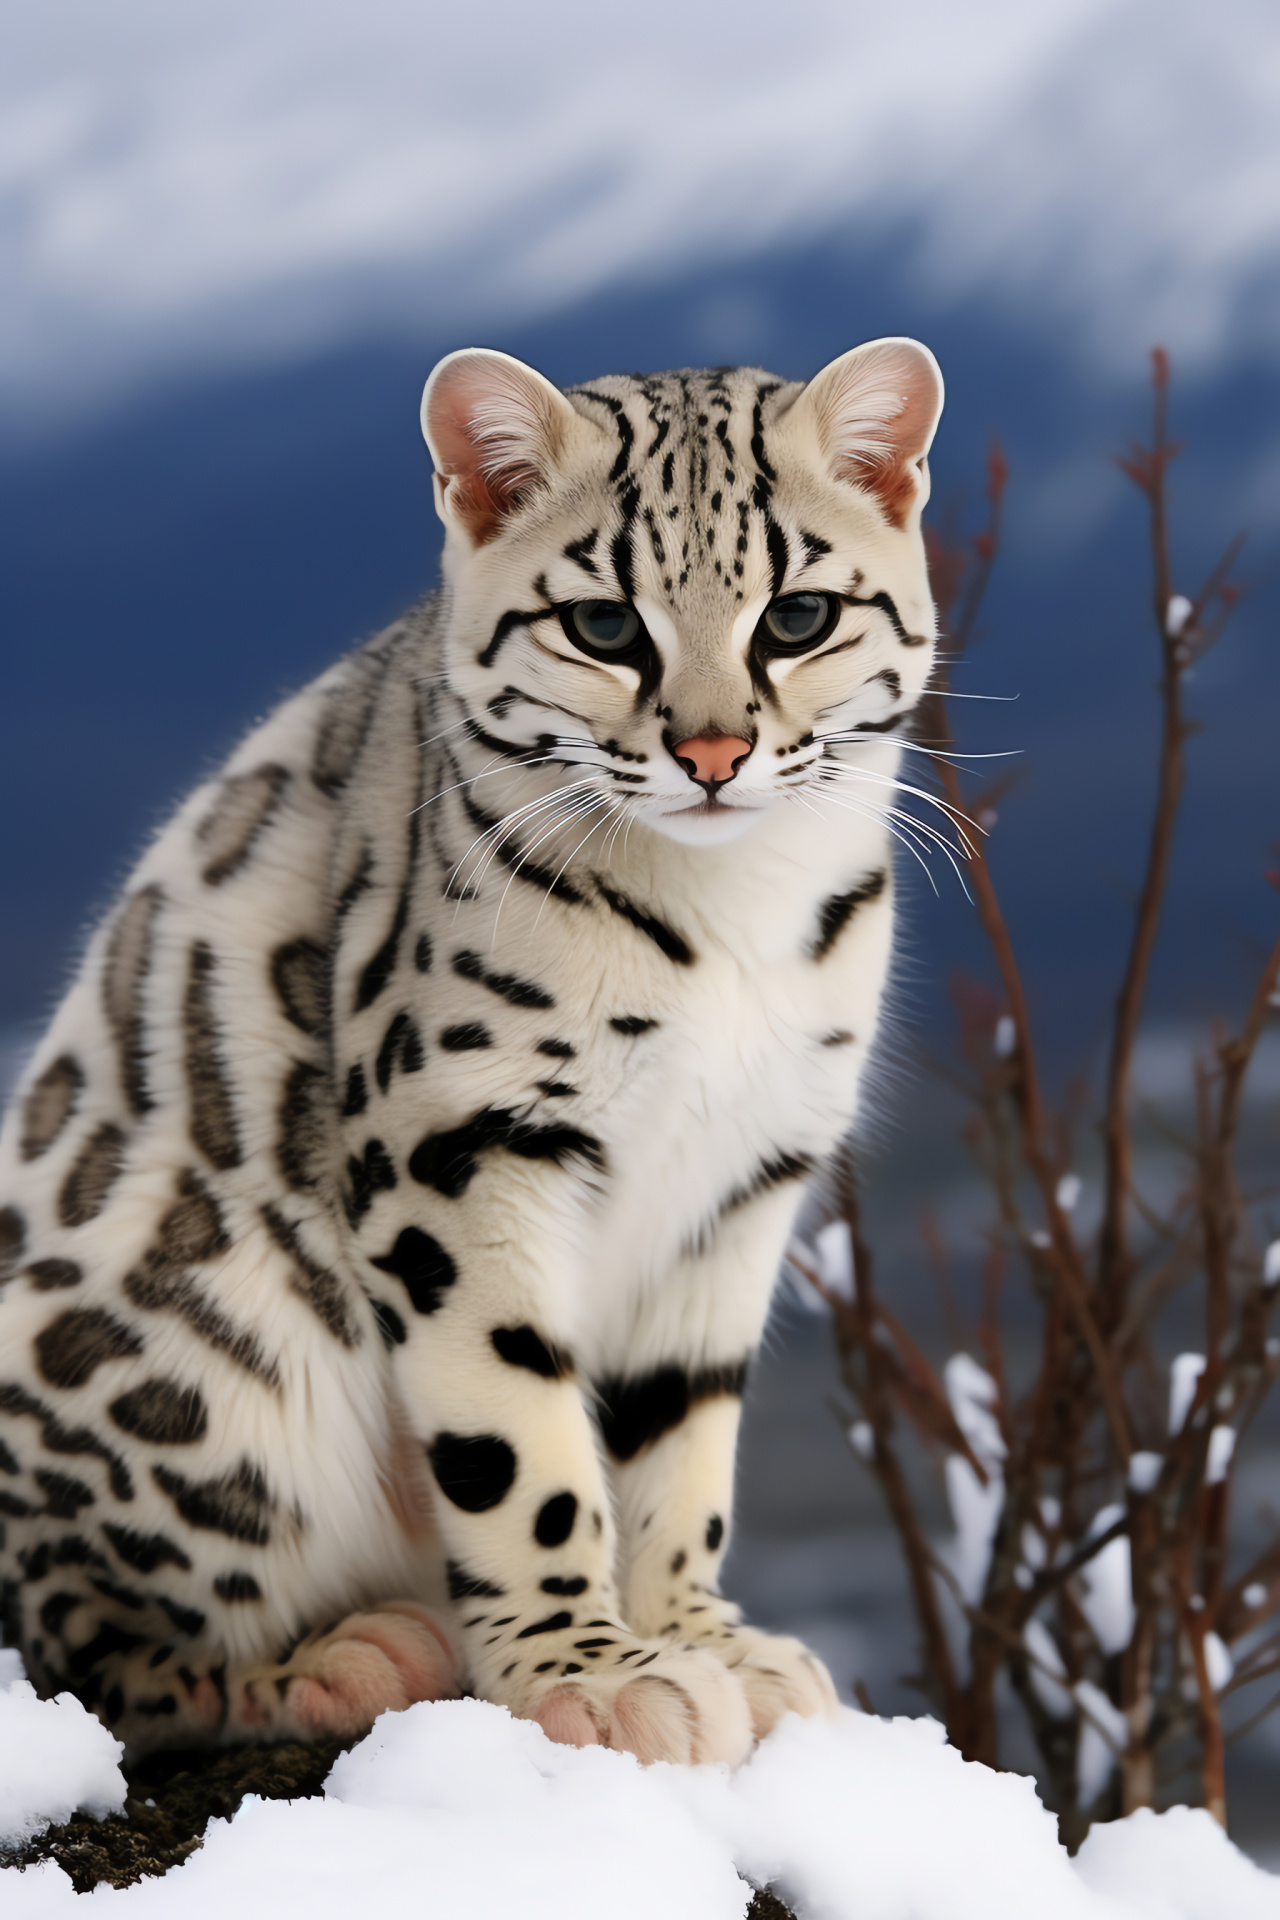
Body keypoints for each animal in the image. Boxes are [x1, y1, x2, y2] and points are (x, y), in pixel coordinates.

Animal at [0, 337, 940, 1758]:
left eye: (796, 616)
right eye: (602, 624)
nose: (712, 749)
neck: (733, 930)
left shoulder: (744, 1175)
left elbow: (684, 1440)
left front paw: (706, 1642)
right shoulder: (463, 1130)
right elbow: (516, 1433)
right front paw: (591, 1676)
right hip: (207, 1363)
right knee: (94, 1647)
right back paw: (345, 1661)